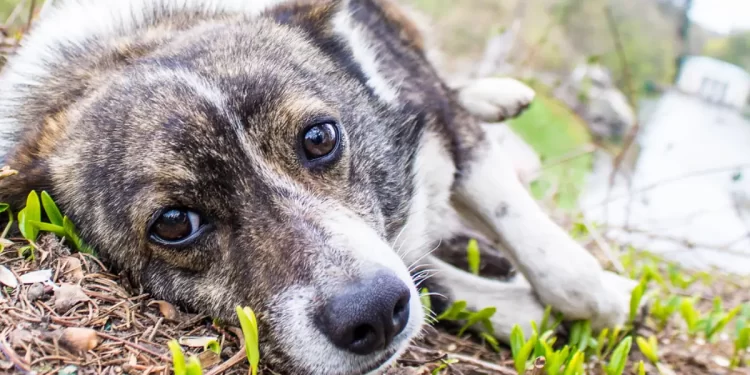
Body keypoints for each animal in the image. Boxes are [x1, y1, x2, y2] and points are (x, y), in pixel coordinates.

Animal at [0, 1, 636, 374]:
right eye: (175, 223)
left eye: (320, 138)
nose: (374, 314)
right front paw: (514, 308)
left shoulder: (440, 121)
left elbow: (550, 256)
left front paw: (606, 296)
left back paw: (496, 93)